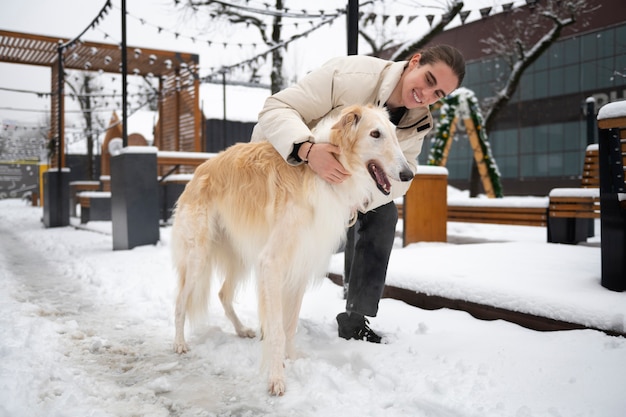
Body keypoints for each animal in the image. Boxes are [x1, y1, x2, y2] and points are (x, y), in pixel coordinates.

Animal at [173, 103, 412, 394]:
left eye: (394, 133)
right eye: (375, 134)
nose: (408, 175)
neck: (320, 174)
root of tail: (198, 172)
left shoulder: (300, 265)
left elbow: (289, 326)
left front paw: (292, 358)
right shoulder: (271, 263)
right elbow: (276, 329)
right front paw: (276, 378)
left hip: (239, 257)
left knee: (223, 294)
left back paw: (242, 330)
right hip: (198, 256)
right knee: (180, 301)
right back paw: (180, 343)